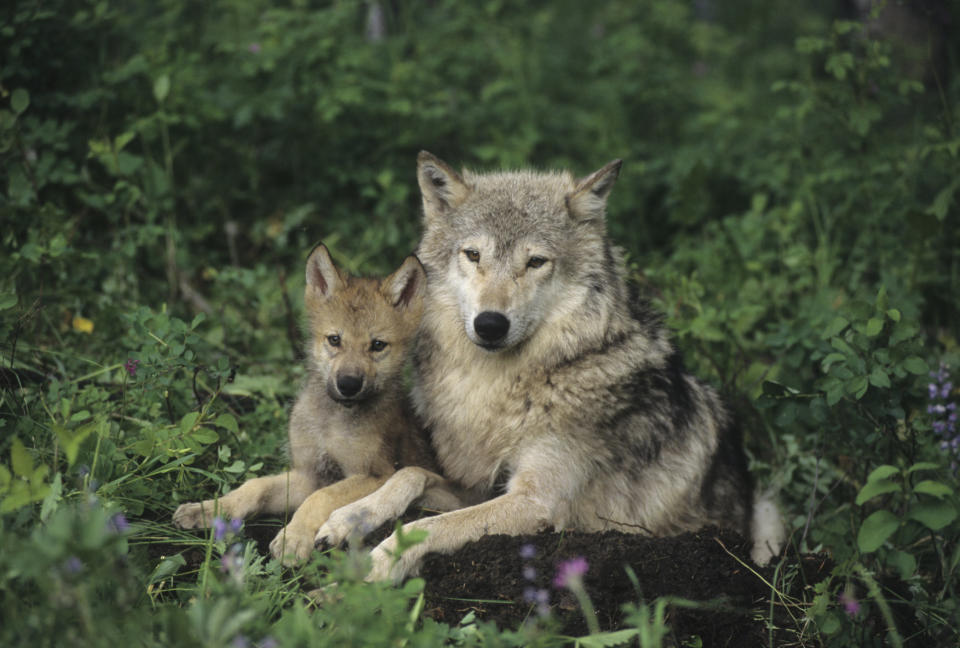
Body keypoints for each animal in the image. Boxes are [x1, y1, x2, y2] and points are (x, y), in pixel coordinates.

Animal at [172, 243, 458, 560]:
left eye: (377, 345)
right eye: (334, 339)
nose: (348, 385)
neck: (330, 422)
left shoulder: (376, 474)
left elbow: (322, 497)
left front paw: (293, 538)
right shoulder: (308, 473)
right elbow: (255, 486)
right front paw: (208, 509)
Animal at [318, 153, 784, 584]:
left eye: (536, 262)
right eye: (473, 255)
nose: (490, 324)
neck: (502, 387)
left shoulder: (536, 502)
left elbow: (429, 526)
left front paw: (376, 564)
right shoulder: (481, 486)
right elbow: (410, 474)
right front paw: (346, 519)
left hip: (769, 512)